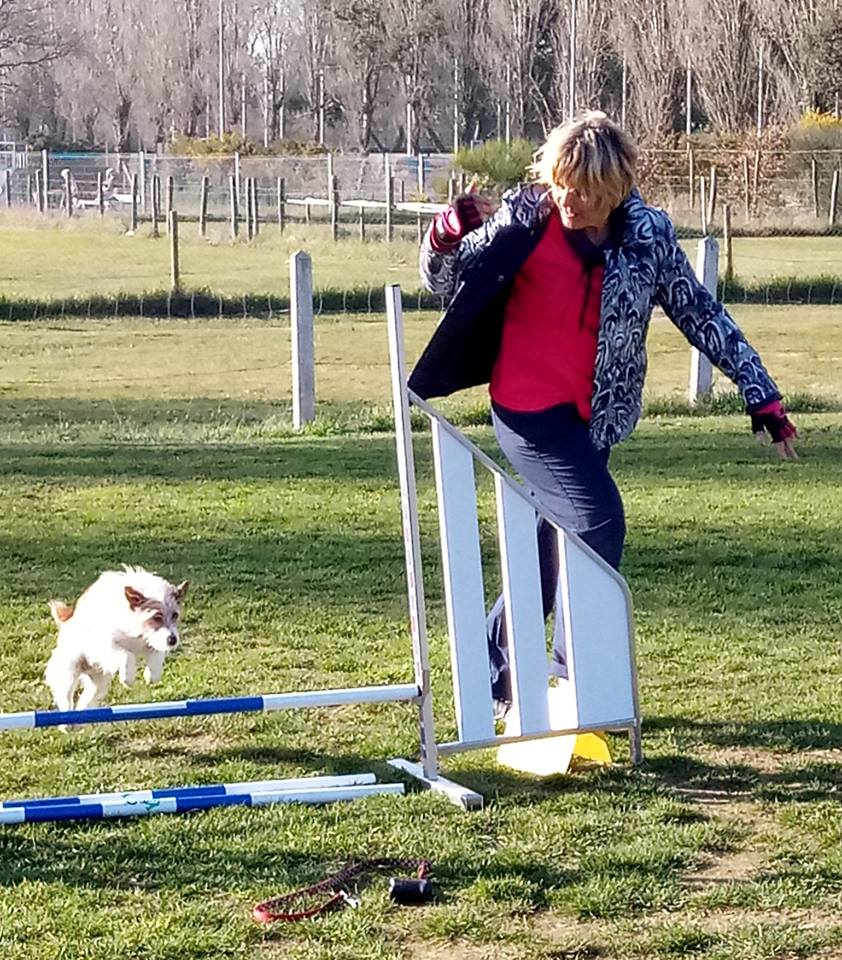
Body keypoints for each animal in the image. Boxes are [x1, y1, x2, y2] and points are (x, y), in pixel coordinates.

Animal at [44, 568, 189, 716]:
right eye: (157, 617)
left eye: (175, 615)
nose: (173, 640)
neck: (139, 630)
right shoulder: (104, 645)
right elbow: (127, 655)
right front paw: (127, 677)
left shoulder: (154, 642)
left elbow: (157, 654)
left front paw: (152, 674)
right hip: (68, 672)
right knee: (65, 698)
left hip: (98, 683)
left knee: (86, 701)